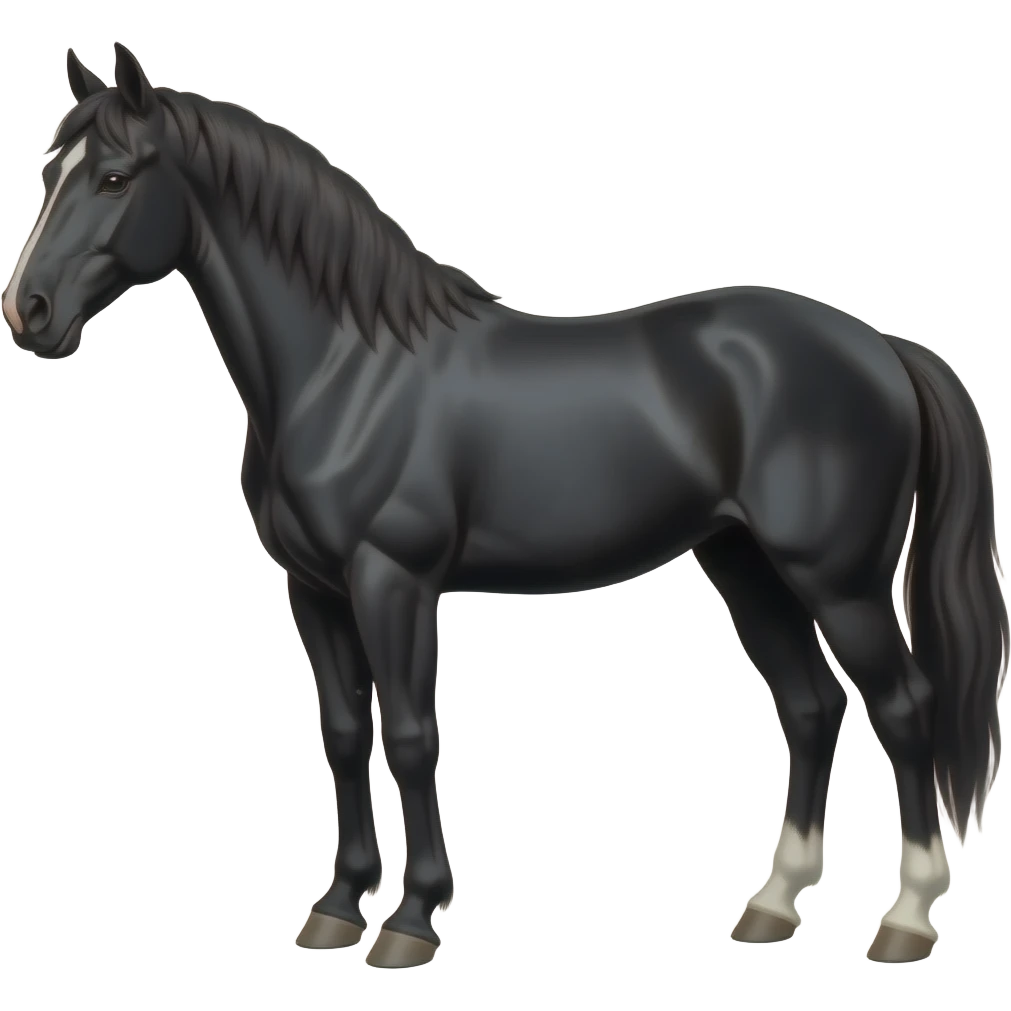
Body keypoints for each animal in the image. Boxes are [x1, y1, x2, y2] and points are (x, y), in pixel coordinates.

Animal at [4, 43, 1006, 969]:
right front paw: (336, 906)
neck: (346, 369)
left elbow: (410, 735)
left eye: (115, 176)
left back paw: (906, 920)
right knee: (808, 706)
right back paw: (771, 904)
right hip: (744, 564)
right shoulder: (314, 589)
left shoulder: (393, 582)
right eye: (49, 172)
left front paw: (411, 919)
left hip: (839, 582)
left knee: (902, 707)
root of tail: (881, 347)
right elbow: (344, 734)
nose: (29, 311)